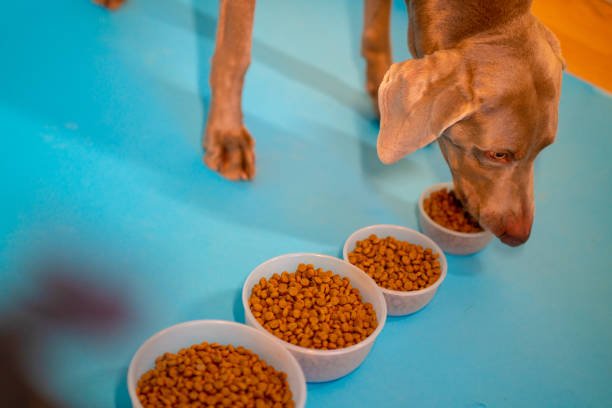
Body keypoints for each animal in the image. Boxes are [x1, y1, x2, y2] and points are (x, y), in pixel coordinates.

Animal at [97, 0, 564, 245]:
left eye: (544, 150)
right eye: (497, 154)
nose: (521, 236)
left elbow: (376, 28)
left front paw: (378, 87)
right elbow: (235, 52)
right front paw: (227, 136)